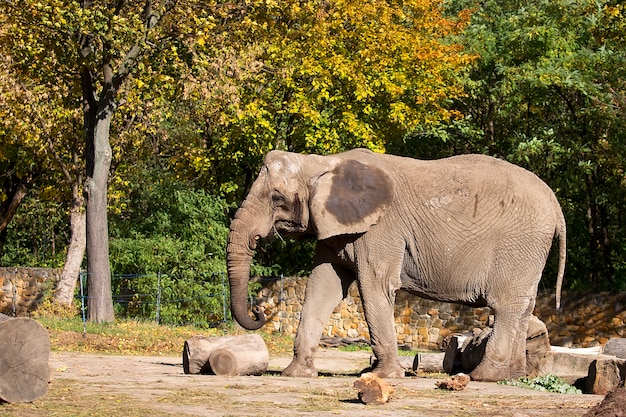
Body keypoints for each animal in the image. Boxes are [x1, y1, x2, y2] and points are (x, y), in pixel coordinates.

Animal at [225, 149, 564, 380]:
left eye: (276, 198)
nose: (259, 312)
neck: (320, 163)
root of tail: (555, 202)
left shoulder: (380, 230)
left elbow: (375, 285)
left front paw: (382, 376)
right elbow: (323, 286)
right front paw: (296, 374)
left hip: (519, 245)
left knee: (506, 307)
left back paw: (483, 376)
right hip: (529, 251)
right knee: (523, 307)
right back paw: (514, 376)